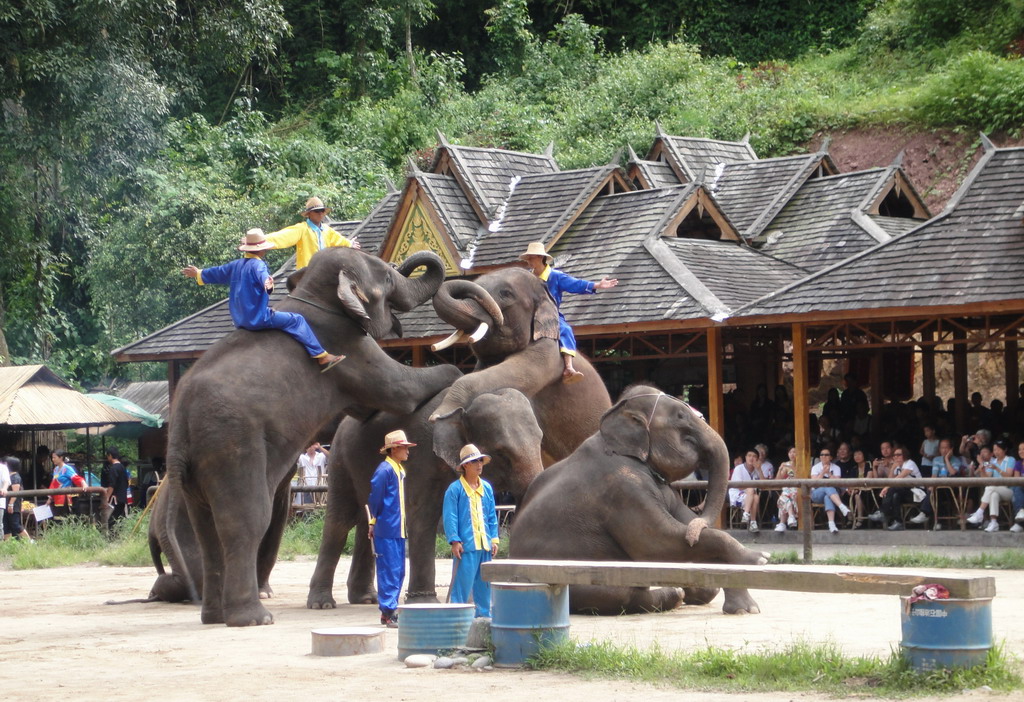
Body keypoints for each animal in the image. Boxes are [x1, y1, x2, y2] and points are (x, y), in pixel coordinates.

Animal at [163, 248, 460, 626]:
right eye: (385, 279)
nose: (401, 263)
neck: (315, 294)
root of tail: (178, 426)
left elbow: (370, 410)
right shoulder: (348, 347)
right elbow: (402, 391)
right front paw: (455, 372)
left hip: (197, 467)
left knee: (206, 528)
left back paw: (215, 617)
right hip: (231, 445)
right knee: (246, 519)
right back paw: (255, 618)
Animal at [303, 386, 544, 613]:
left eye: (541, 441)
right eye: (501, 453)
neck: (461, 408)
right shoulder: (423, 460)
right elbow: (422, 518)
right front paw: (426, 602)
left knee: (367, 522)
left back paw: (366, 599)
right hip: (340, 462)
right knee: (339, 523)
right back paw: (322, 604)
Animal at [509, 384, 770, 613]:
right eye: (681, 416)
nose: (693, 535)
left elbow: (683, 526)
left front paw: (745, 609)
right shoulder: (621, 488)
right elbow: (658, 543)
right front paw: (760, 560)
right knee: (620, 594)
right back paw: (676, 594)